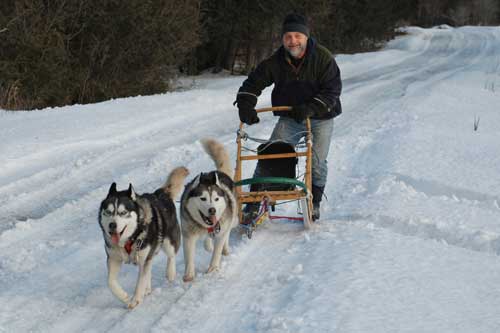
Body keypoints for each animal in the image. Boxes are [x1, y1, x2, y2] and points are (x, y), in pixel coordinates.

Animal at [98, 166, 188, 308]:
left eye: (123, 213)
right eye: (108, 212)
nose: (112, 225)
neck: (129, 240)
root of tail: (161, 193)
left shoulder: (143, 258)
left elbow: (140, 281)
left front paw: (135, 299)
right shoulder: (113, 259)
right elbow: (110, 282)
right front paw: (124, 297)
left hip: (168, 241)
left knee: (171, 255)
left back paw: (170, 272)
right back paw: (147, 289)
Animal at [181, 137, 239, 280]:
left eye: (216, 199)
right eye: (203, 198)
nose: (212, 210)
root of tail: (218, 172)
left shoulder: (221, 230)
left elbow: (217, 251)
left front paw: (213, 269)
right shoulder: (188, 235)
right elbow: (189, 256)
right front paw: (189, 275)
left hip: (231, 218)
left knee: (226, 234)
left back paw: (225, 249)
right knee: (208, 239)